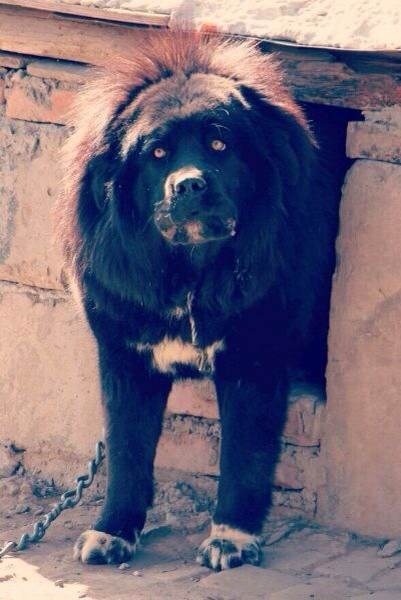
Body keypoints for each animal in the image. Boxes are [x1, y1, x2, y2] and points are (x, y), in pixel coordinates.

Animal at [57, 30, 346, 568]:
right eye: (156, 153)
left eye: (219, 143)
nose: (189, 184)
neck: (191, 274)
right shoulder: (125, 353)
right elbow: (126, 451)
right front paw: (112, 531)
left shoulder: (254, 356)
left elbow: (244, 454)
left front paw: (230, 539)